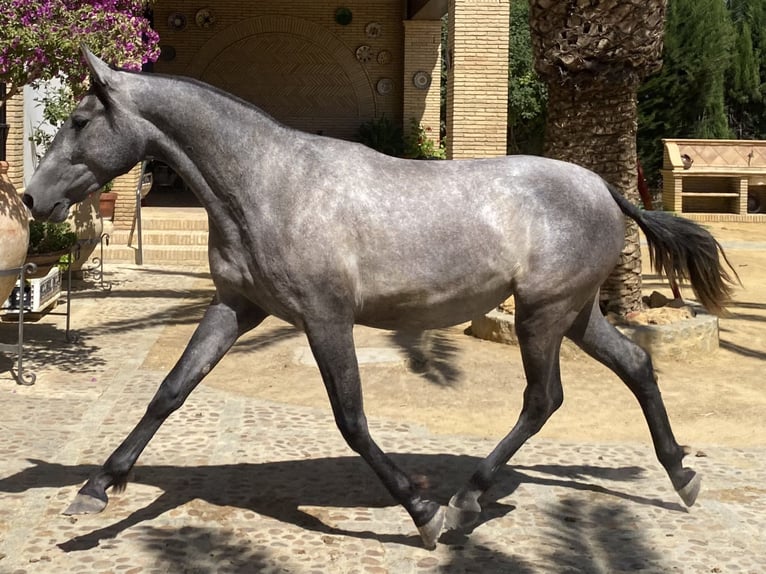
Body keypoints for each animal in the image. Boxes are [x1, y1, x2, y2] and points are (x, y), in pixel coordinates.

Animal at [22, 48, 736, 548]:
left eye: (80, 120)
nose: (32, 198)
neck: (269, 186)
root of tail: (603, 187)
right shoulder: (235, 307)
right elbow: (170, 391)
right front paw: (94, 490)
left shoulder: (325, 318)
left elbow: (351, 417)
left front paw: (422, 513)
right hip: (577, 313)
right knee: (637, 366)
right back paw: (682, 477)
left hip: (543, 316)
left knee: (544, 400)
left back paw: (466, 501)